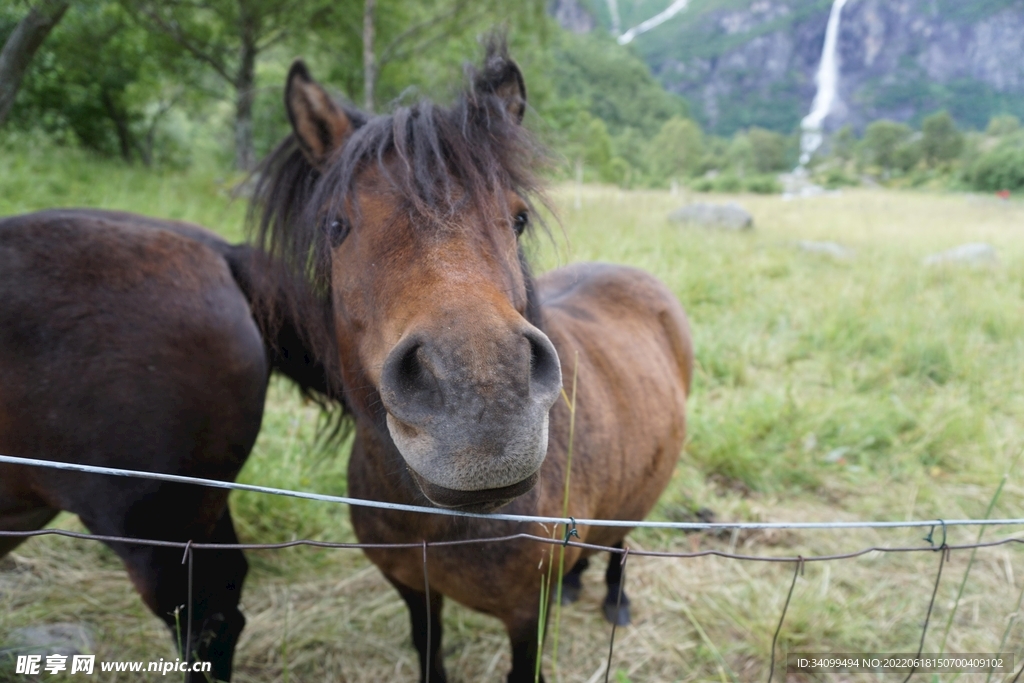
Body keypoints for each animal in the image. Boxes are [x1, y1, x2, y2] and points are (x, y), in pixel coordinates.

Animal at [253, 38, 696, 683]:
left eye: (519, 218)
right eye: (337, 225)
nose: (482, 400)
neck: (435, 524)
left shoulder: (525, 616)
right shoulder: (414, 590)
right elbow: (428, 650)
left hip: (638, 502)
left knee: (619, 544)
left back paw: (615, 599)